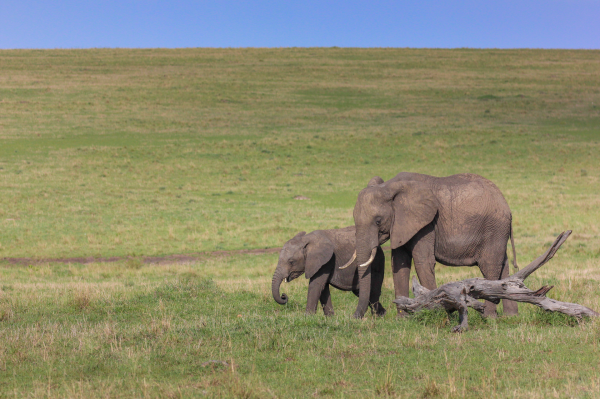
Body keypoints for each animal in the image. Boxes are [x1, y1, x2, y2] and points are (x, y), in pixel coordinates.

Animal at [352, 173, 520, 320]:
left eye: (378, 221)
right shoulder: (401, 225)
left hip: (494, 228)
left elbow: (423, 262)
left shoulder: (426, 225)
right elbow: (399, 265)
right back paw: (510, 316)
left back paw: (489, 317)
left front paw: (437, 313)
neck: (388, 187)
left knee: (489, 266)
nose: (355, 317)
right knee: (503, 265)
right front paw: (401, 319)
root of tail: (506, 205)